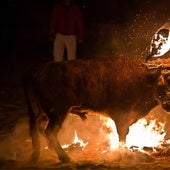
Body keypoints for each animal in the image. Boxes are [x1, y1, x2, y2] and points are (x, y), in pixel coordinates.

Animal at [23, 55, 170, 163]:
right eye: (166, 78)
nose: (168, 103)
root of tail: (37, 71)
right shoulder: (121, 116)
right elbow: (122, 135)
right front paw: (123, 154)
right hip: (57, 113)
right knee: (49, 132)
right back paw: (64, 157)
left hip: (39, 112)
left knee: (35, 130)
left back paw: (36, 156)